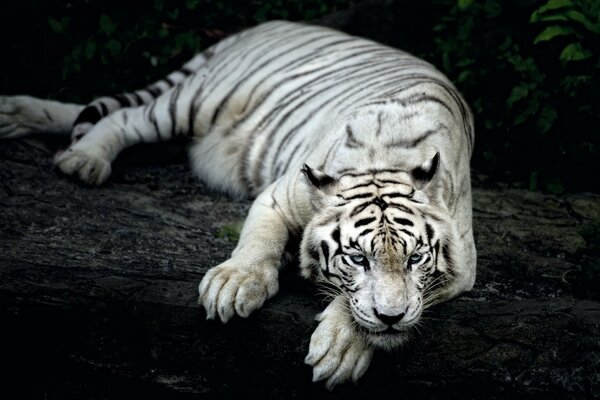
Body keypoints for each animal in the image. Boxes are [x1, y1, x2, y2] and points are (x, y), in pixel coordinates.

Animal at [1, 20, 478, 390]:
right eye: (357, 258)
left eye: (415, 258)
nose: (392, 317)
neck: (385, 159)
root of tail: (265, 25)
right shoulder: (279, 194)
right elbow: (257, 242)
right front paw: (233, 285)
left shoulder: (463, 263)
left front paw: (343, 346)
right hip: (196, 101)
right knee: (119, 117)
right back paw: (82, 158)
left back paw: (14, 116)